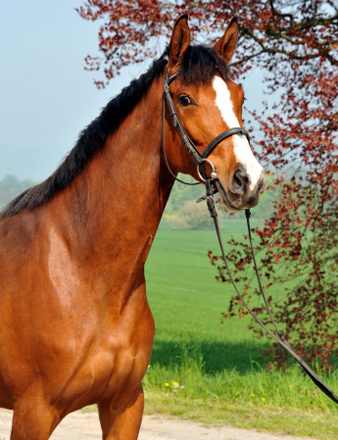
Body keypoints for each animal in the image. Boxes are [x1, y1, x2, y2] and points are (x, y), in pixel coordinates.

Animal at [0, 15, 264, 438]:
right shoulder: (32, 412)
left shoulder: (125, 404)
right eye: (185, 99)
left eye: (240, 98)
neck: (83, 270)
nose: (248, 180)